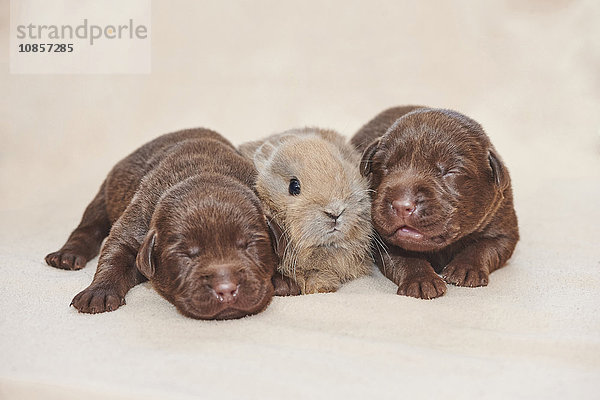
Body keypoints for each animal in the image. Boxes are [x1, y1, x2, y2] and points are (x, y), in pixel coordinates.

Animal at [45, 130, 278, 320]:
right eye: (186, 254)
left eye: (248, 245)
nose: (226, 289)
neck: (205, 171)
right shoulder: (134, 224)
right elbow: (113, 256)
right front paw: (98, 293)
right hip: (105, 195)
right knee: (88, 227)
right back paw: (66, 256)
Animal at [354, 106, 516, 300]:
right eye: (384, 167)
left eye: (451, 171)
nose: (402, 205)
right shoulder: (381, 241)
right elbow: (404, 257)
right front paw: (421, 280)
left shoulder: (503, 227)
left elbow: (484, 246)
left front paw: (466, 268)